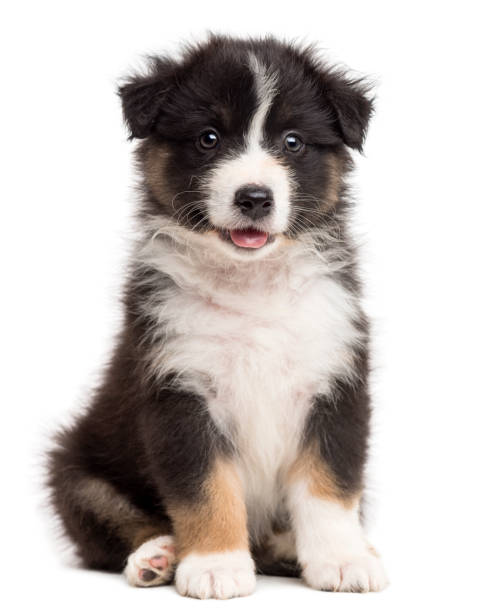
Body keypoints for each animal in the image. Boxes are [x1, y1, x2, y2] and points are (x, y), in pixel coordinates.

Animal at [47, 34, 390, 596]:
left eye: (293, 142)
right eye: (208, 138)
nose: (254, 198)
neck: (251, 285)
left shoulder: (334, 378)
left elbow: (330, 484)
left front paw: (343, 559)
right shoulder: (178, 388)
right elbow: (204, 488)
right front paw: (214, 565)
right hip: (75, 470)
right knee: (107, 523)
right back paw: (156, 555)